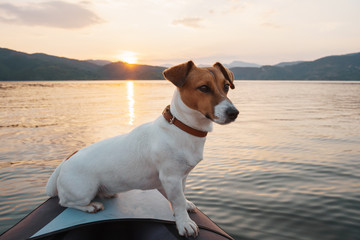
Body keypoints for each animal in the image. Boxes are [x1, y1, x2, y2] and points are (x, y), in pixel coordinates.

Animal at [46, 61, 240, 237]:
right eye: (204, 88)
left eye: (226, 86)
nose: (234, 113)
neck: (183, 127)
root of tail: (66, 160)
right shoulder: (171, 177)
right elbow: (177, 201)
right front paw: (184, 223)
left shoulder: (182, 176)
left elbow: (181, 196)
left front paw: (186, 205)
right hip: (83, 190)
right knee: (65, 202)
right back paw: (91, 206)